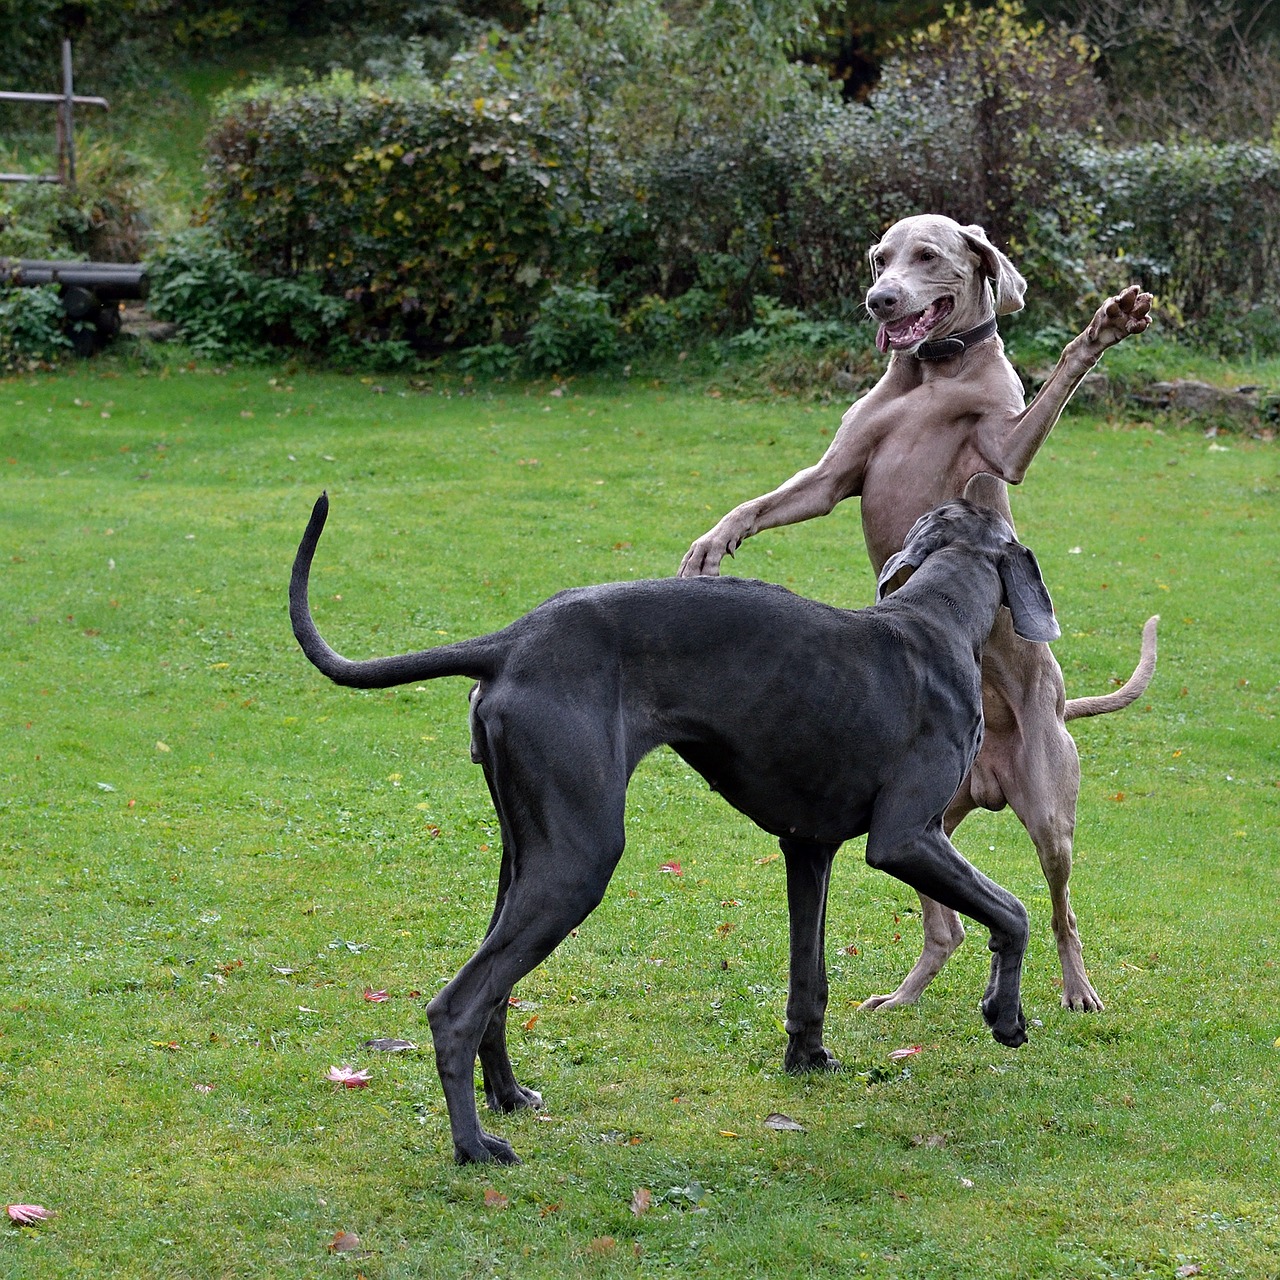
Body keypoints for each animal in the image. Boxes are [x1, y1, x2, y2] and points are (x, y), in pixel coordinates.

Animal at [293, 488, 1059, 1162]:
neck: (935, 616)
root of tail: (511, 641)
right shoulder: (908, 837)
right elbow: (1013, 910)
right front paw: (1005, 1014)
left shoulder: (807, 848)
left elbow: (808, 977)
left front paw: (809, 1060)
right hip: (578, 860)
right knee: (457, 1005)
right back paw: (475, 1147)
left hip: (528, 859)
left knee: (494, 991)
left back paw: (509, 1097)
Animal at [686, 215, 1167, 1024]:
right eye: (880, 259)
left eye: (929, 257)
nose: (879, 300)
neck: (932, 378)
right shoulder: (832, 475)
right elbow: (763, 504)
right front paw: (712, 544)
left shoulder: (1004, 447)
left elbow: (1060, 377)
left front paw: (1106, 326)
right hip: (928, 815)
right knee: (946, 926)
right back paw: (903, 994)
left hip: (1049, 812)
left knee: (1062, 910)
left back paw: (1077, 989)